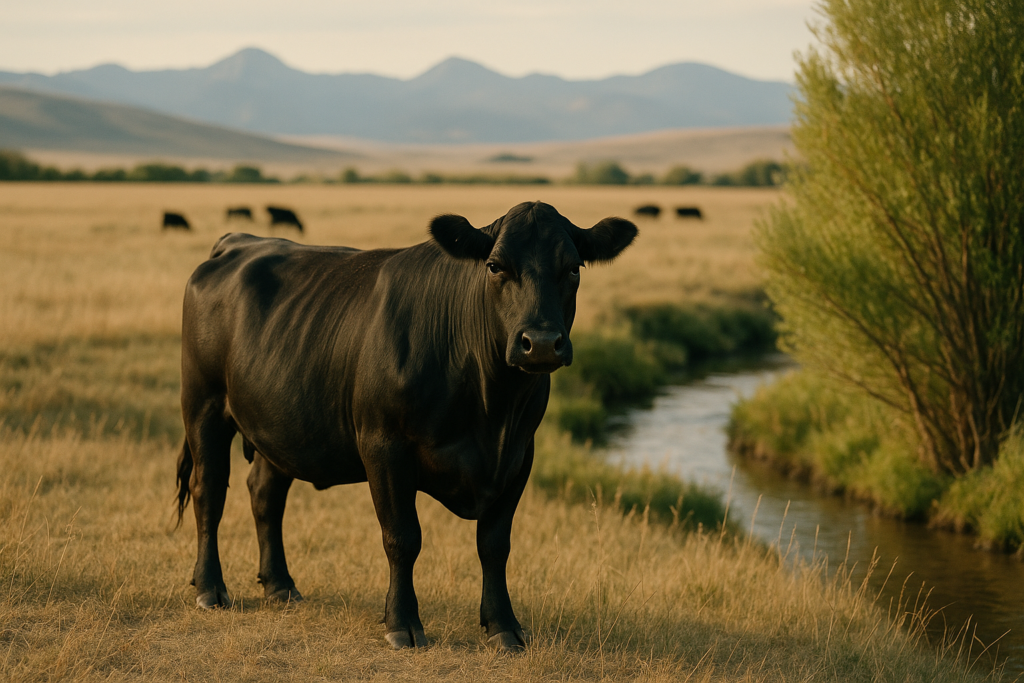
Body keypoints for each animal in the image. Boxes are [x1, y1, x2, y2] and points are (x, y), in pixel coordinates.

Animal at [175, 201, 637, 651]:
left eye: (574, 267)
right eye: (495, 265)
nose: (540, 343)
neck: (491, 408)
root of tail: (238, 241)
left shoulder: (520, 454)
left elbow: (494, 544)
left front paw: (504, 626)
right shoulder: (384, 446)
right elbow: (402, 537)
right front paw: (403, 623)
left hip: (279, 426)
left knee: (265, 495)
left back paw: (281, 586)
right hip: (203, 404)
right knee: (208, 489)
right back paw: (211, 588)